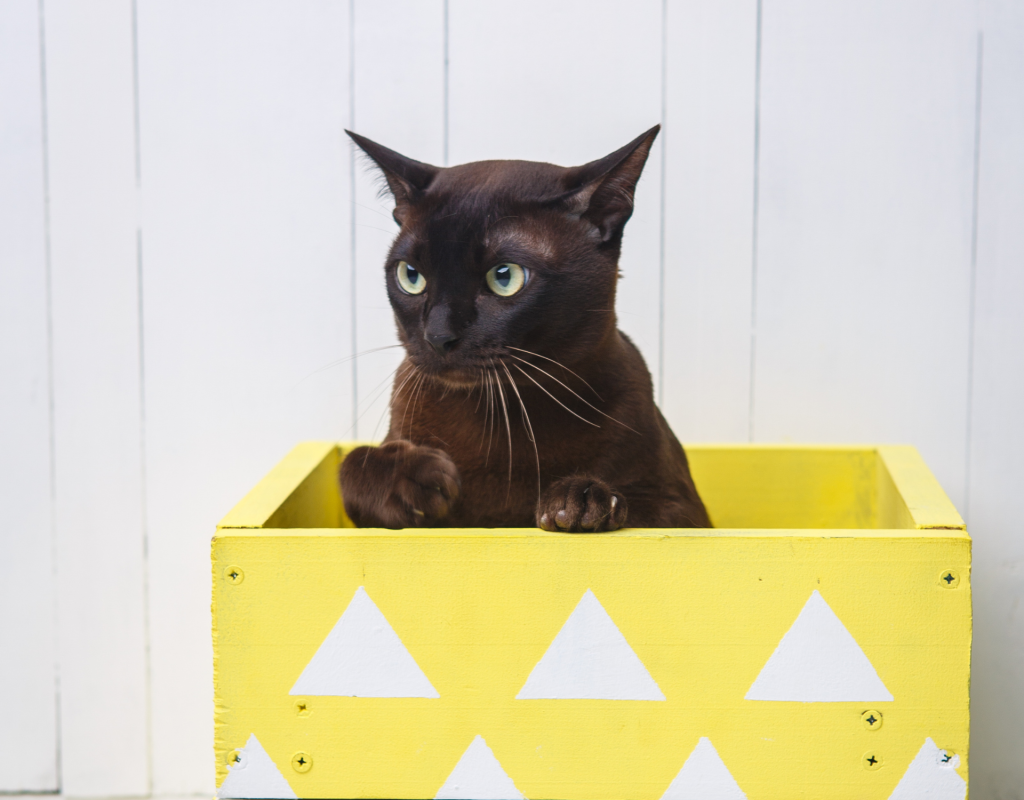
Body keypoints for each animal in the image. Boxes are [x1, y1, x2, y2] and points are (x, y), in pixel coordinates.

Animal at [339, 126, 708, 528]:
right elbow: (352, 464)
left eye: (505, 277)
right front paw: (417, 480)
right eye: (410, 276)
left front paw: (580, 501)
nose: (438, 337)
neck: (498, 414)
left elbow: (634, 508)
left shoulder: (684, 509)